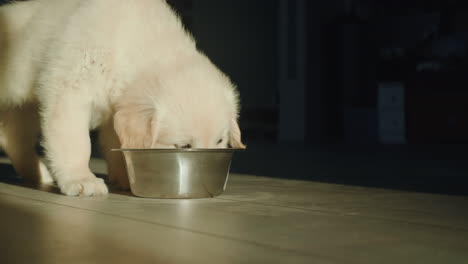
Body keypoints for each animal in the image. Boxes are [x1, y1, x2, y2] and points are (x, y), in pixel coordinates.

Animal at [0, 0, 243, 196]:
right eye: (183, 146)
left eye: (220, 141)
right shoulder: (71, 88)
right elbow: (76, 142)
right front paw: (81, 178)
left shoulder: (115, 112)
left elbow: (118, 146)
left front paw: (126, 178)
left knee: (13, 138)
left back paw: (38, 173)